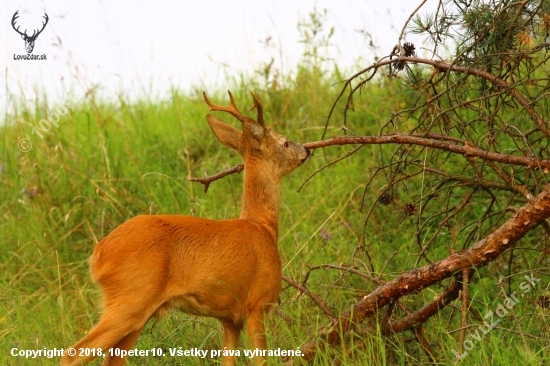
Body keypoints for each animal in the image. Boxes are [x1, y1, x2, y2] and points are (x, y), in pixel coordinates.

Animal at [61, 91, 310, 366]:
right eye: (285, 142)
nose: (306, 150)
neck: (262, 227)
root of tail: (98, 255)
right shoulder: (258, 303)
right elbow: (261, 359)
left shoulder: (229, 319)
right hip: (130, 299)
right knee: (71, 353)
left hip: (136, 312)